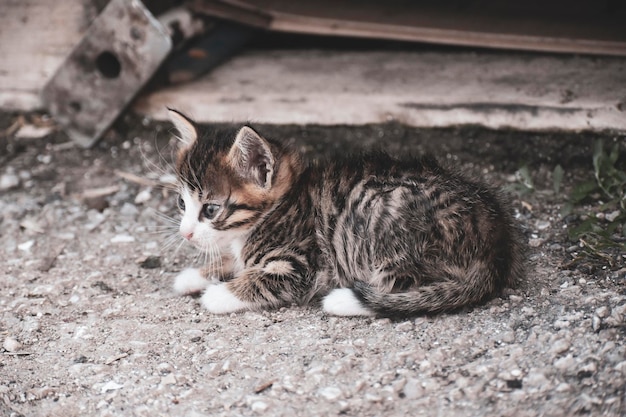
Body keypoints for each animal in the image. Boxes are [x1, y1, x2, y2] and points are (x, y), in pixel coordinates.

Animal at [166, 109, 520, 316]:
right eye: (182, 204)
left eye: (211, 209)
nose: (185, 233)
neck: (282, 205)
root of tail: (497, 243)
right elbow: (235, 262)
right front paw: (196, 275)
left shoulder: (299, 265)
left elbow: (257, 279)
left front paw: (216, 294)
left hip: (376, 220)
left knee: (398, 291)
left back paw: (344, 300)